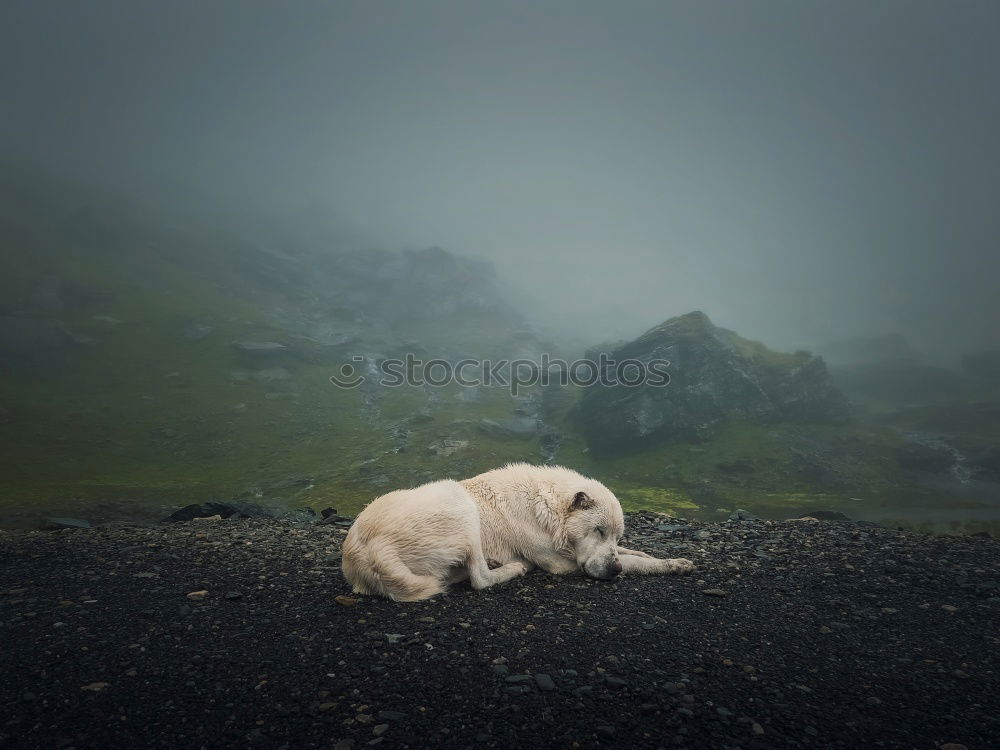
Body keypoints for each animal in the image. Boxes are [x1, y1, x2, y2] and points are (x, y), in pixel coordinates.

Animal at [340, 468, 692, 604]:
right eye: (598, 530)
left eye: (615, 536)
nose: (613, 570)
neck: (549, 509)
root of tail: (366, 549)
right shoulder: (564, 564)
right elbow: (634, 563)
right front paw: (666, 565)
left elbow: (634, 554)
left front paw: (668, 559)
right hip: (457, 500)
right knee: (480, 579)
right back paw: (514, 568)